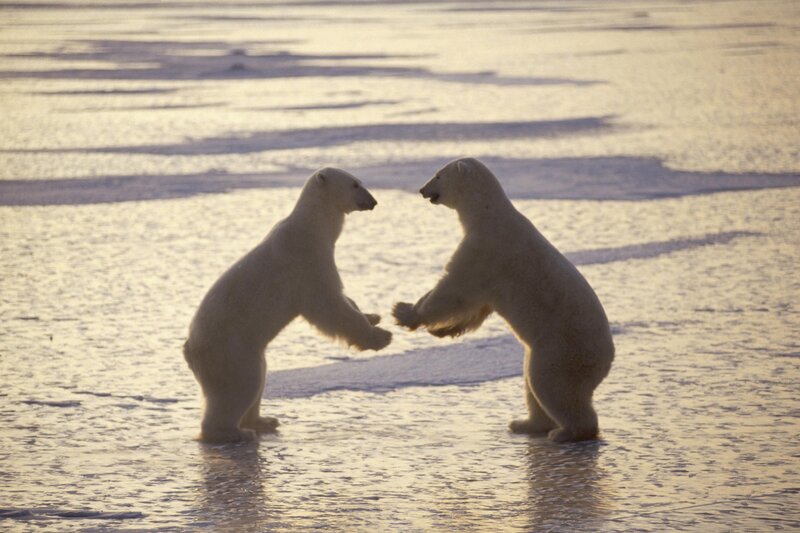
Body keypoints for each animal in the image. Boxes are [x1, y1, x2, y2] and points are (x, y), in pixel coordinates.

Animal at [184, 168, 392, 443]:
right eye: (355, 185)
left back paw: (264, 421)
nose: (373, 201)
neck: (311, 226)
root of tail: (189, 350)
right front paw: (381, 336)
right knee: (240, 386)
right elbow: (328, 304)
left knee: (259, 379)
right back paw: (236, 432)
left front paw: (373, 316)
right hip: (230, 350)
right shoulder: (306, 261)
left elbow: (344, 301)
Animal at [392, 157, 614, 442]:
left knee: (551, 386)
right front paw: (443, 331)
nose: (422, 189)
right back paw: (525, 424)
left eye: (438, 175)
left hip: (562, 349)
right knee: (532, 384)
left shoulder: (485, 248)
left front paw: (404, 312)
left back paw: (565, 432)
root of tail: (606, 360)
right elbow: (478, 305)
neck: (488, 213)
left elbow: (454, 289)